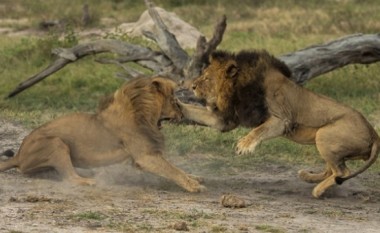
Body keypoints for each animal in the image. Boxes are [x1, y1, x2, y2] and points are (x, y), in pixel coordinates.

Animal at [0, 76, 205, 193]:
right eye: (174, 100)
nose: (182, 113)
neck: (143, 113)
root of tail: (18, 155)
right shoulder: (145, 157)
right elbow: (172, 170)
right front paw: (193, 185)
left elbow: (176, 168)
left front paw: (195, 177)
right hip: (56, 142)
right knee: (70, 177)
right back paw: (90, 181)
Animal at [180, 50, 378, 198]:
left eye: (207, 78)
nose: (192, 87)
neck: (238, 88)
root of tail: (374, 133)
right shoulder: (225, 119)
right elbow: (193, 110)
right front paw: (176, 104)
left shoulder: (282, 119)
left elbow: (259, 130)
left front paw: (244, 145)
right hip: (325, 140)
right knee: (333, 170)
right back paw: (308, 177)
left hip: (325, 135)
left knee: (342, 172)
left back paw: (317, 190)